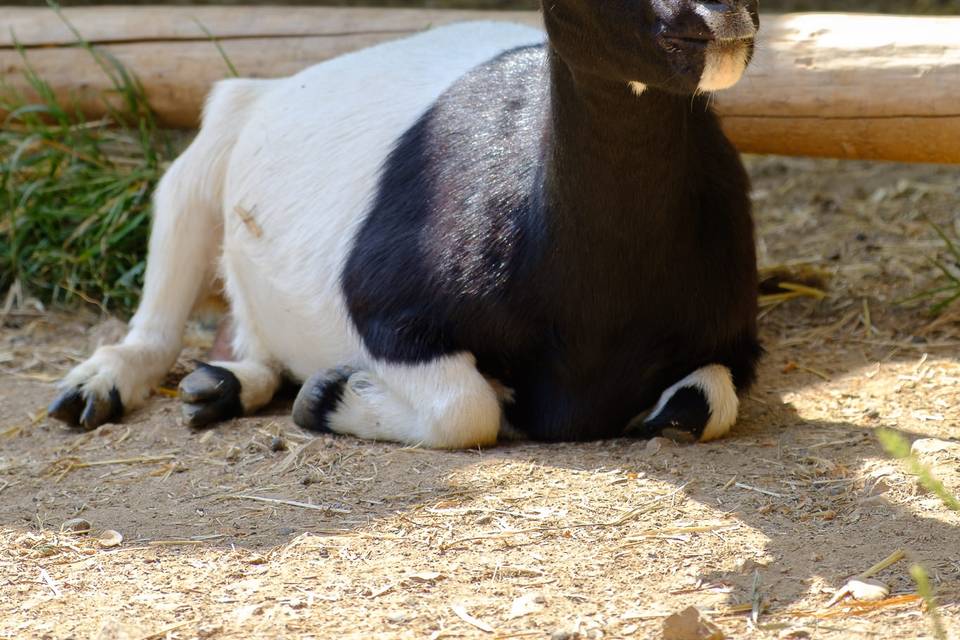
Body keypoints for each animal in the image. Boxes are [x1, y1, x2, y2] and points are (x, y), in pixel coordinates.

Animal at [48, 1, 760, 450]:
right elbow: (467, 409)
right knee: (165, 288)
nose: (719, 17)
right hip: (211, 146)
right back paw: (101, 385)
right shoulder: (385, 306)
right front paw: (331, 397)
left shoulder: (734, 338)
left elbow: (700, 404)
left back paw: (221, 384)